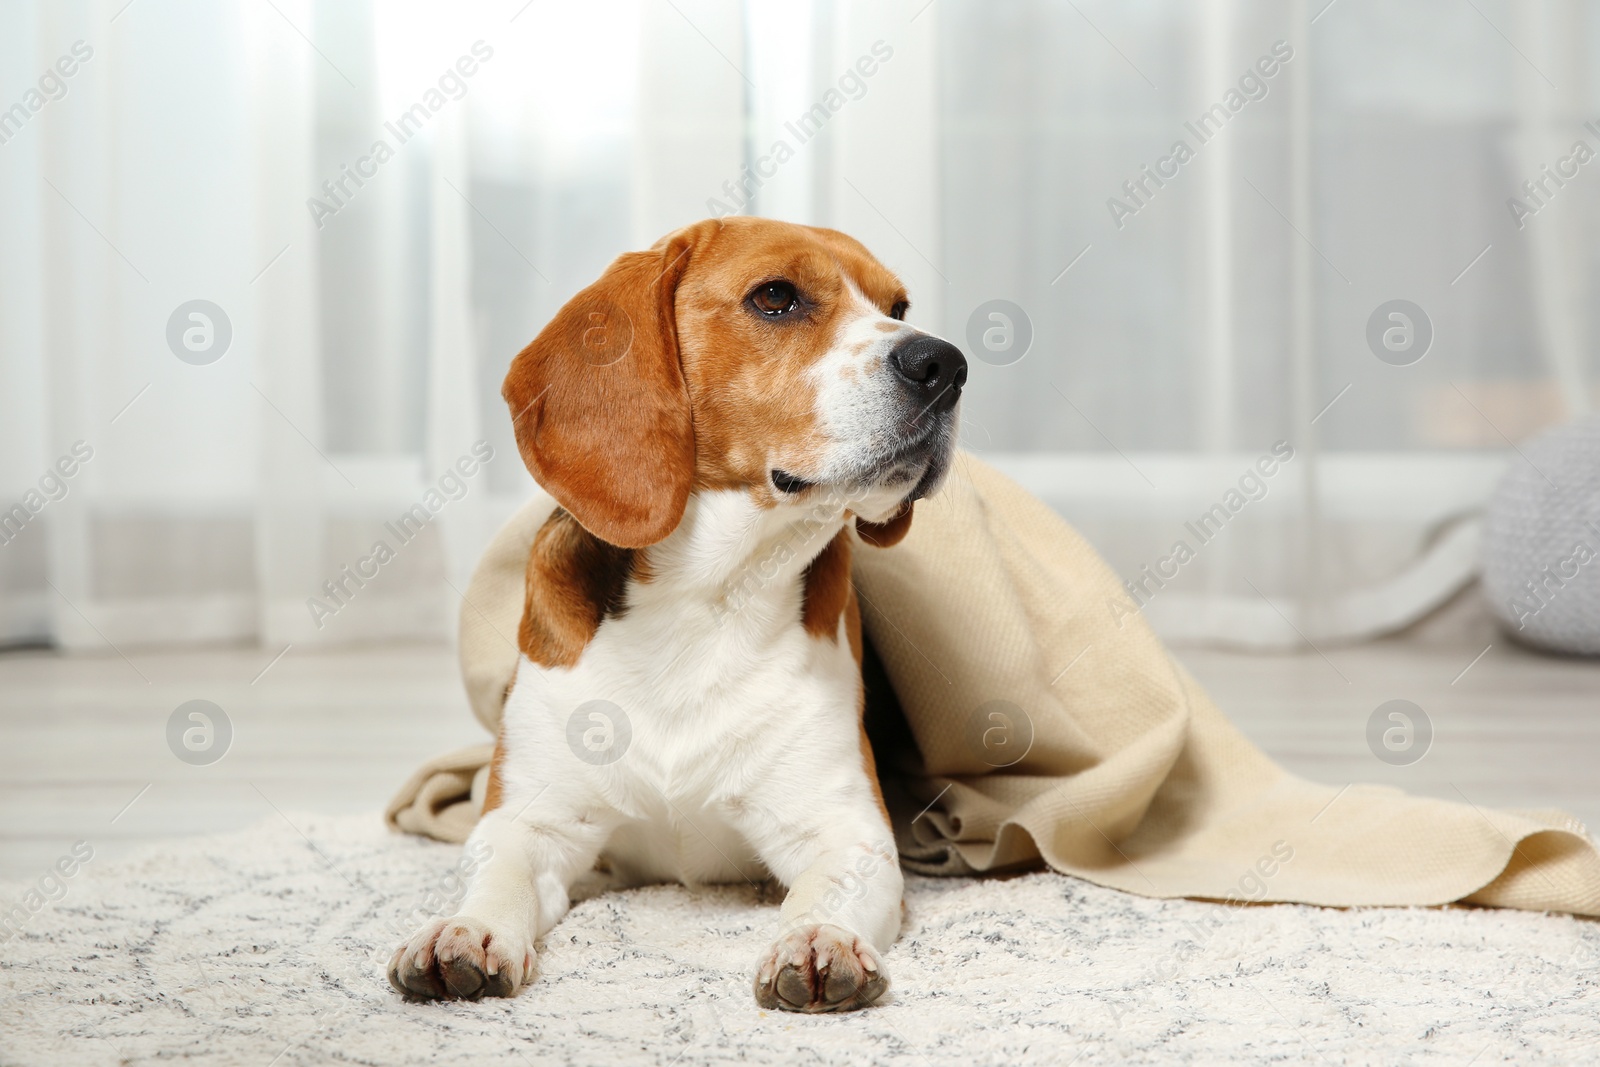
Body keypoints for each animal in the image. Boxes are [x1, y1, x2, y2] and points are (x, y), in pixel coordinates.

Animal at [390, 214, 960, 1011]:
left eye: (898, 308)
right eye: (776, 297)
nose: (946, 363)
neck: (710, 599)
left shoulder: (847, 831)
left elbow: (826, 891)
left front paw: (819, 939)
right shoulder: (531, 820)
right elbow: (496, 874)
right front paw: (465, 930)